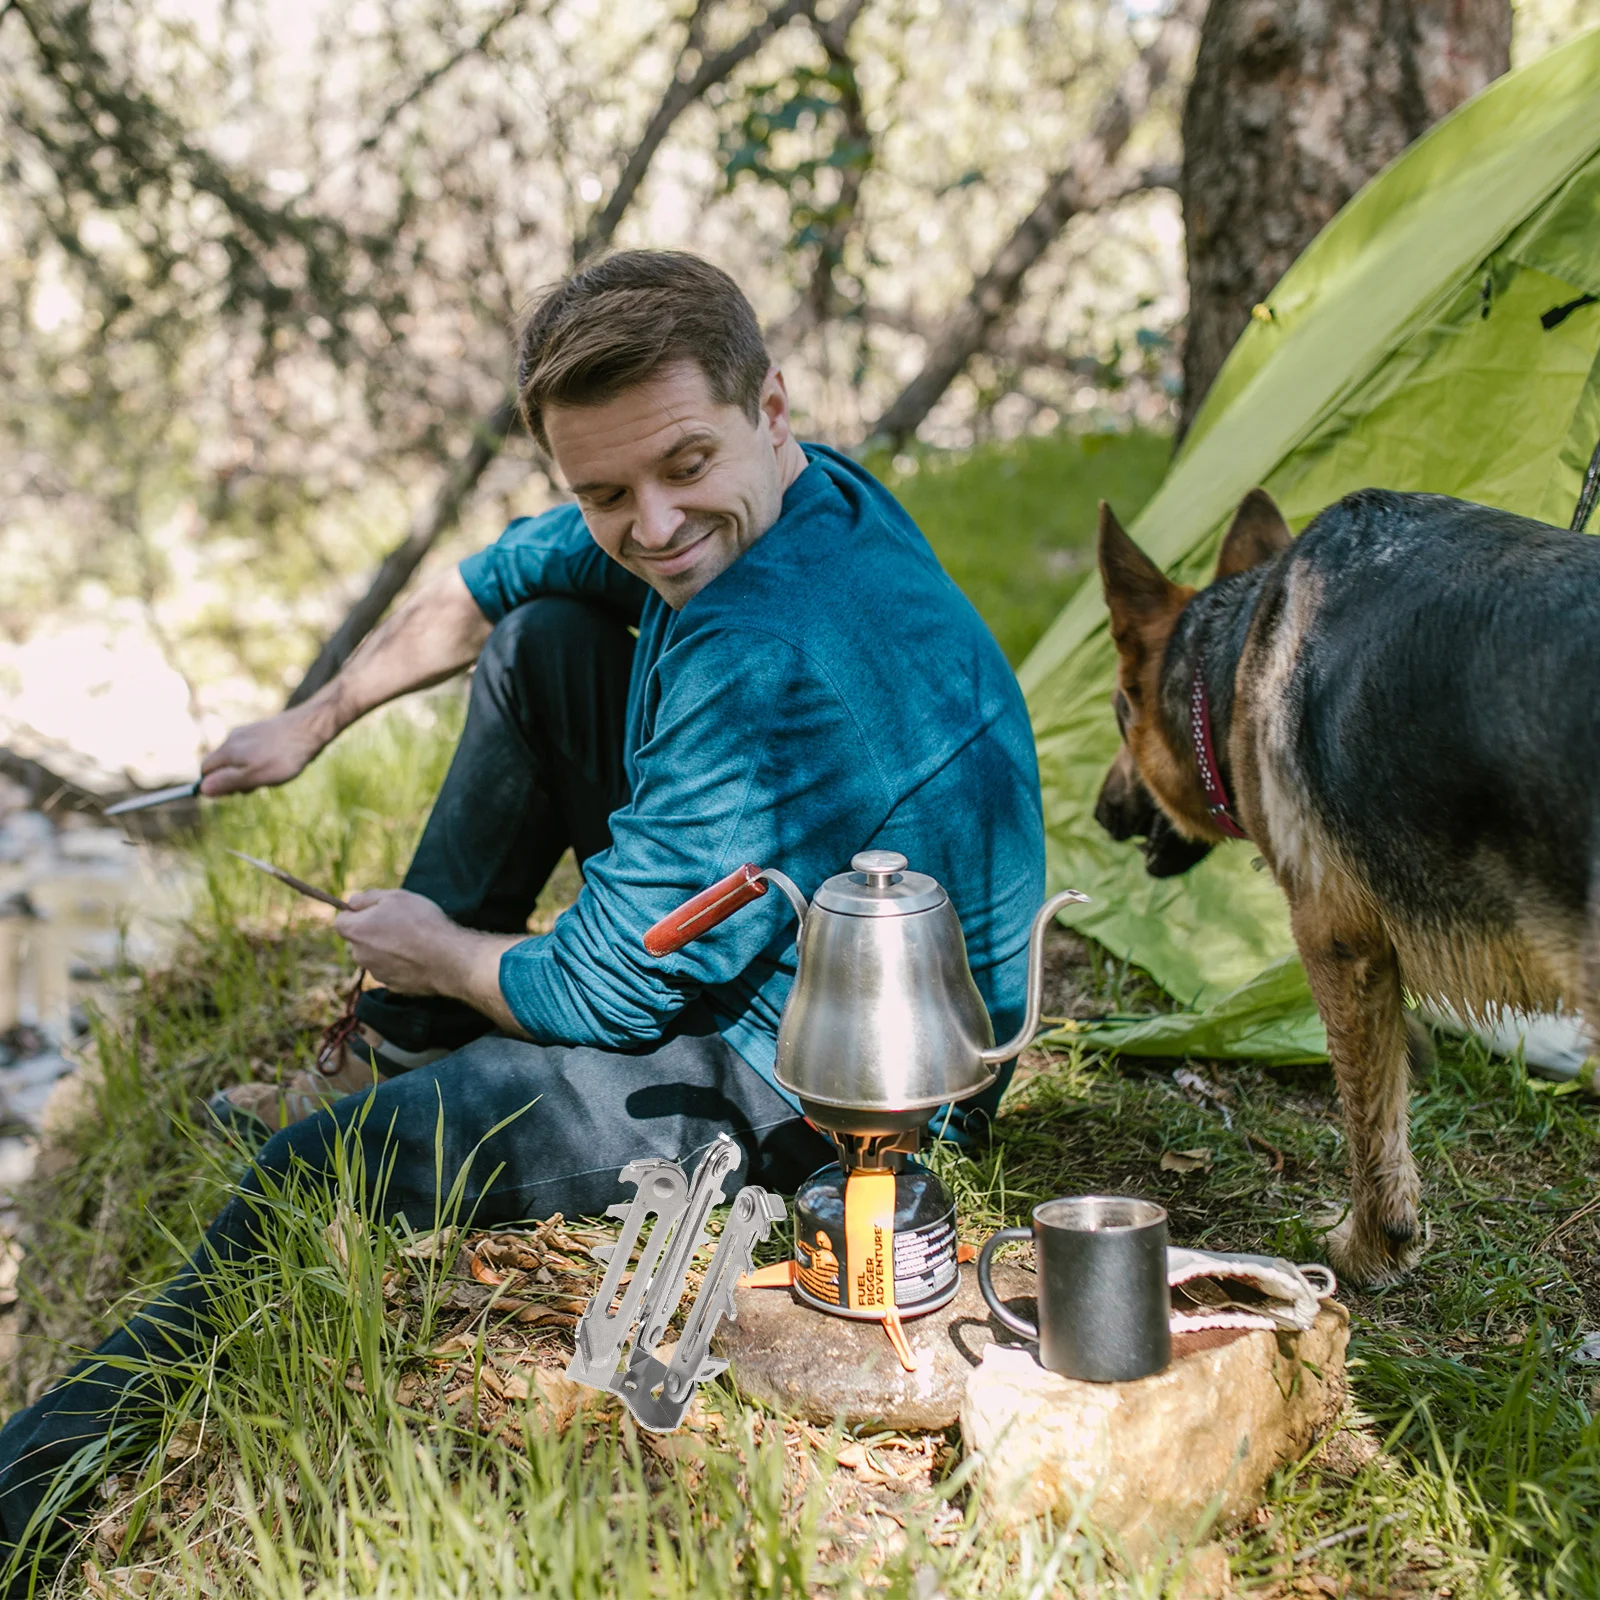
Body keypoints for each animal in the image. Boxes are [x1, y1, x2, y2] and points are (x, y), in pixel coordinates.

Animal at [1100, 486, 1600, 1286]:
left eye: (1121, 710)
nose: (1100, 810)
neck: (1240, 647)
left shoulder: (1337, 940)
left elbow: (1372, 1120)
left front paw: (1370, 1247)